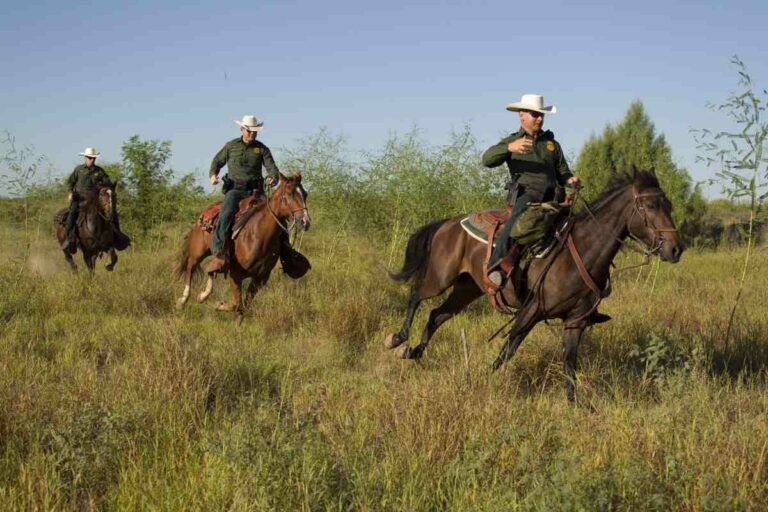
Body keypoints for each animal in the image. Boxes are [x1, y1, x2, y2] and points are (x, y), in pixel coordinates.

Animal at [176, 172, 310, 320]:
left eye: (305, 194)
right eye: (289, 193)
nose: (305, 222)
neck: (258, 235)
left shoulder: (260, 278)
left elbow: (243, 307)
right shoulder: (235, 275)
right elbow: (237, 304)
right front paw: (219, 305)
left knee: (212, 269)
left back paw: (203, 295)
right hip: (198, 251)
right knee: (190, 268)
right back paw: (182, 300)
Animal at [388, 170, 680, 402]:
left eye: (668, 205)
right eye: (651, 205)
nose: (675, 249)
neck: (582, 251)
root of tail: (449, 222)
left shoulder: (575, 321)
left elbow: (569, 365)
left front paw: (577, 406)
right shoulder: (531, 311)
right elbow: (507, 350)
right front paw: (483, 382)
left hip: (467, 288)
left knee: (437, 315)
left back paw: (413, 352)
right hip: (440, 278)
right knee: (416, 296)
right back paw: (398, 339)